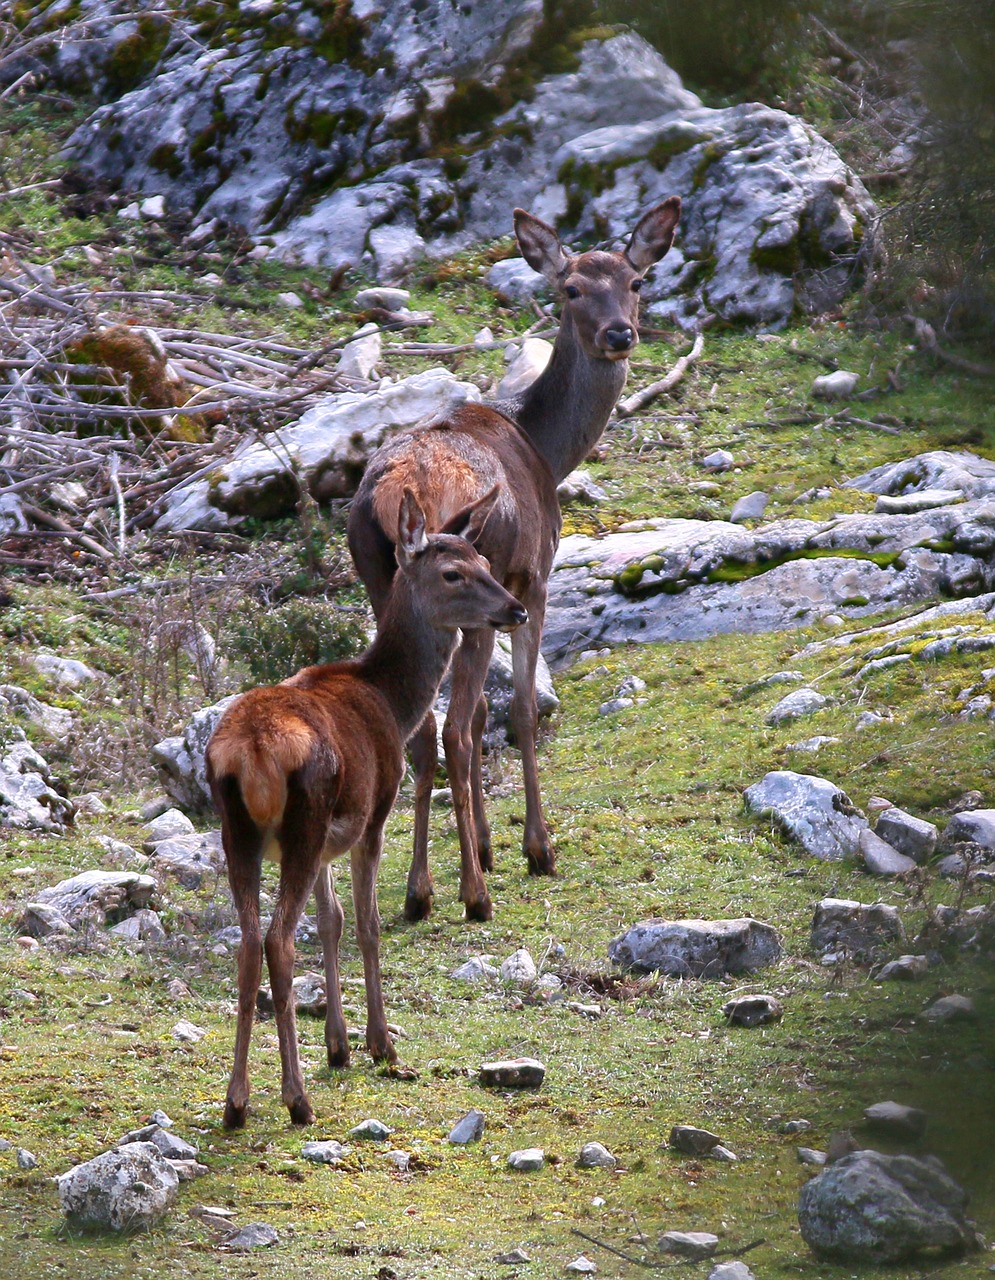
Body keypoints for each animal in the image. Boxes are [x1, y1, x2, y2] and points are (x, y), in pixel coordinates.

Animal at [206, 483, 525, 1126]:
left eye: (484, 560)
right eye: (453, 573)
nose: (516, 608)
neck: (391, 700)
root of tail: (252, 753)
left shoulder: (330, 841)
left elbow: (331, 921)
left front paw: (338, 1044)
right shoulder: (373, 813)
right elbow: (367, 923)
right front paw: (379, 1044)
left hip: (241, 834)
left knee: (250, 944)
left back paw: (237, 1102)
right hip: (301, 824)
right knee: (278, 941)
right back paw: (296, 1099)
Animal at [345, 197, 681, 921]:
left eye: (636, 281)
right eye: (570, 288)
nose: (619, 334)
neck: (547, 449)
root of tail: (390, 493)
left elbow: (479, 716)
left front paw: (488, 846)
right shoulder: (532, 583)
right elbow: (520, 711)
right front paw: (533, 848)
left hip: (383, 583)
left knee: (425, 731)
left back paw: (421, 891)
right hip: (473, 593)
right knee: (452, 731)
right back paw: (470, 894)